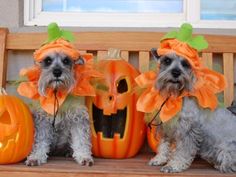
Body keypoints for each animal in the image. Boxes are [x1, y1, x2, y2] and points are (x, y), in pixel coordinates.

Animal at [16, 23, 101, 166]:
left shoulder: (78, 117)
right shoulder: (42, 120)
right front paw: (36, 157)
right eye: (48, 60)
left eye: (66, 60)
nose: (57, 72)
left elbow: (81, 139)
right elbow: (40, 141)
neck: (58, 93)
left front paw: (84, 157)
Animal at [136, 23, 236, 173]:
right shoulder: (166, 127)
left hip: (225, 151)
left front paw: (173, 165)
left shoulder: (188, 130)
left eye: (185, 63)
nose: (176, 73)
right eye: (167, 60)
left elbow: (182, 151)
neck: (175, 97)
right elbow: (164, 145)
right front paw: (159, 159)